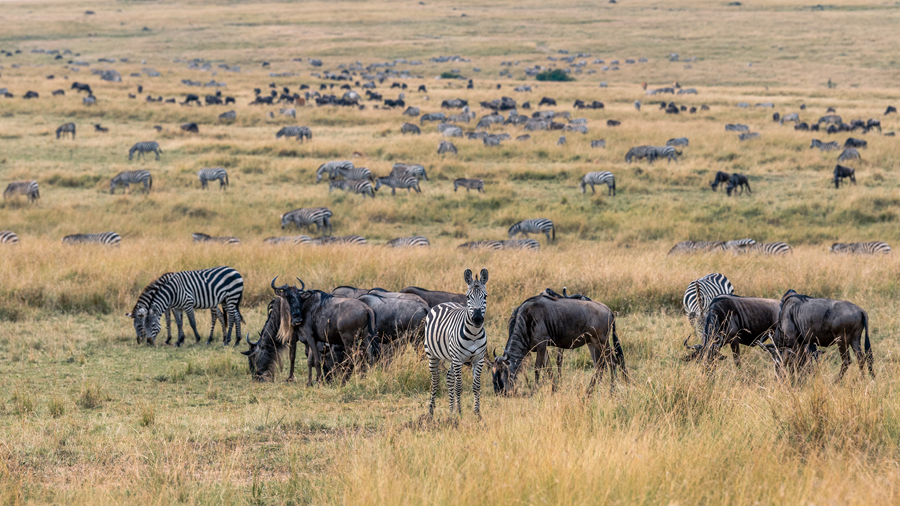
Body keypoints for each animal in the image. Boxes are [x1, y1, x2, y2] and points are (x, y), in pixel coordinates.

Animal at [424, 268, 489, 417]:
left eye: (485, 297)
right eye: (468, 297)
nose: (477, 319)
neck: (474, 335)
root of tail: (444, 303)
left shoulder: (479, 359)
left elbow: (476, 386)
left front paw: (477, 413)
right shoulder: (459, 359)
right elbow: (459, 386)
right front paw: (459, 411)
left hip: (452, 357)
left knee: (449, 378)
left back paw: (451, 409)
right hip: (432, 354)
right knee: (435, 380)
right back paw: (431, 410)